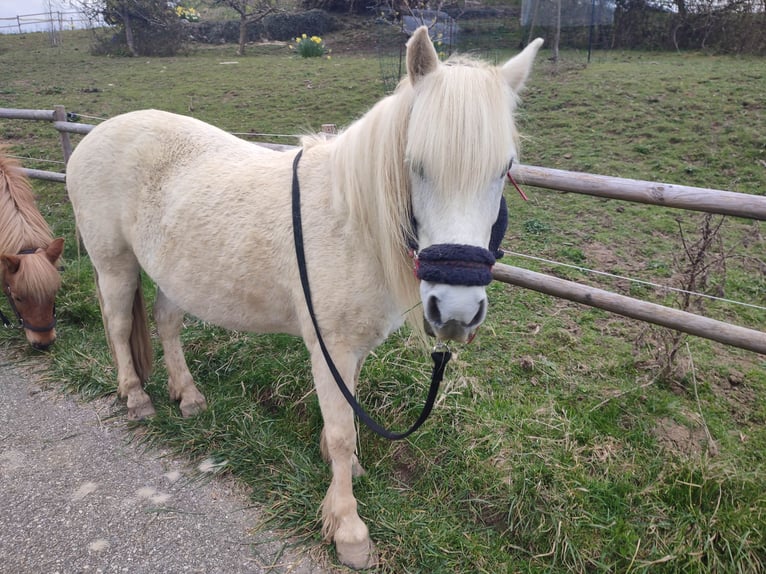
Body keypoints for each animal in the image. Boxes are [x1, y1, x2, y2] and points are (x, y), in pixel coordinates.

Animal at [65, 27, 543, 568]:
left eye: (504, 169)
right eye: (416, 165)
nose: (457, 312)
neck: (351, 221)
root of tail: (94, 136)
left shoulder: (353, 348)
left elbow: (347, 418)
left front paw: (348, 474)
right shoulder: (329, 345)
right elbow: (339, 431)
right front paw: (349, 529)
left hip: (173, 272)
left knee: (166, 324)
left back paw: (187, 396)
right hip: (115, 264)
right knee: (120, 324)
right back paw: (136, 397)